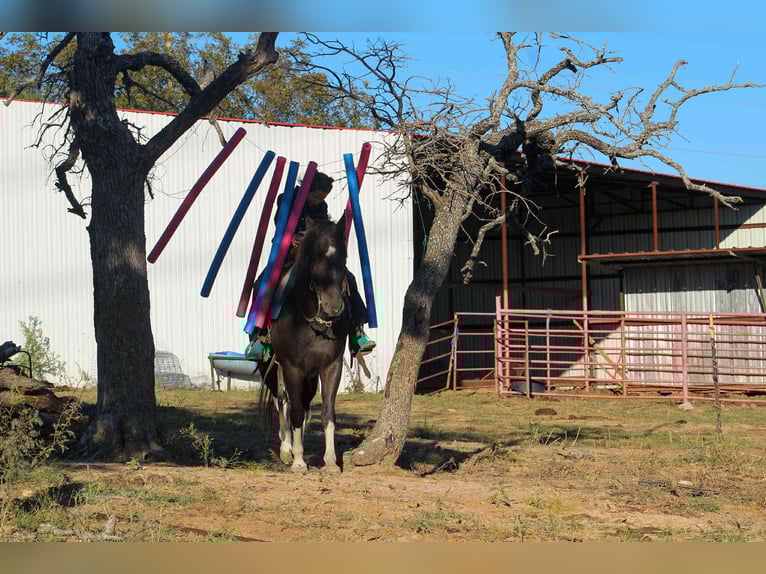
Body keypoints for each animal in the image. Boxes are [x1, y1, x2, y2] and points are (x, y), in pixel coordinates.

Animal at [259, 215, 351, 472]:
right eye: (315, 256)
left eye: (344, 255)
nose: (334, 306)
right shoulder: (292, 367)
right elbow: (296, 412)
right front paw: (298, 461)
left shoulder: (331, 367)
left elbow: (327, 414)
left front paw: (330, 462)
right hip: (274, 368)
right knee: (283, 402)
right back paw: (286, 449)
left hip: (308, 376)